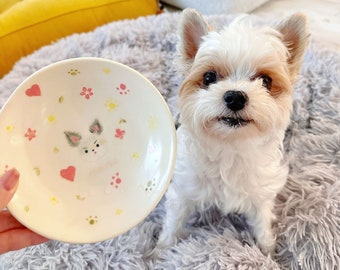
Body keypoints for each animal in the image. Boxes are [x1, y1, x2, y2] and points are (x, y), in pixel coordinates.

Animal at [155, 7, 310, 254]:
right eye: (209, 77)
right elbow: (173, 223)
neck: (230, 147)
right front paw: (159, 252)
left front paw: (268, 253)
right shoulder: (183, 191)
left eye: (266, 80)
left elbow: (262, 226)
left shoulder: (260, 195)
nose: (235, 97)